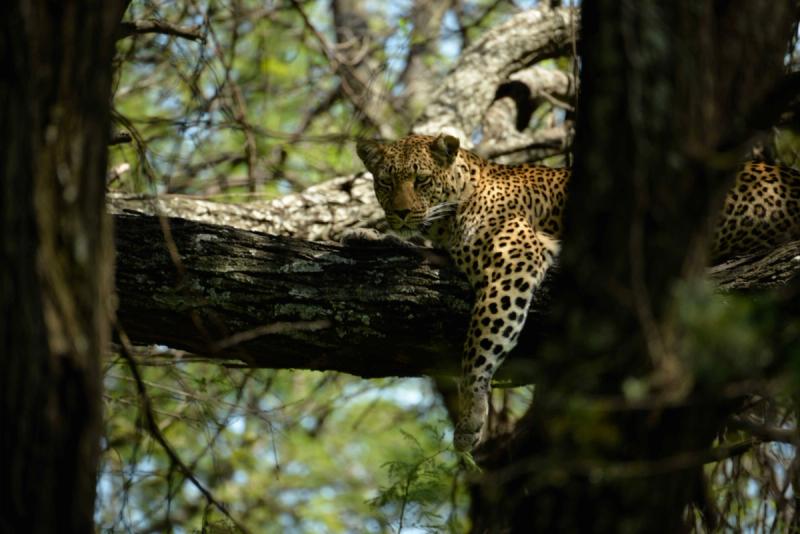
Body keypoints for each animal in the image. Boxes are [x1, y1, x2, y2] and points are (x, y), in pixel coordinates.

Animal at [355, 133, 800, 452]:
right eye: (385, 182)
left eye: (422, 180)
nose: (400, 213)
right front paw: (367, 236)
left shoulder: (515, 257)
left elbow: (481, 341)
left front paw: (471, 416)